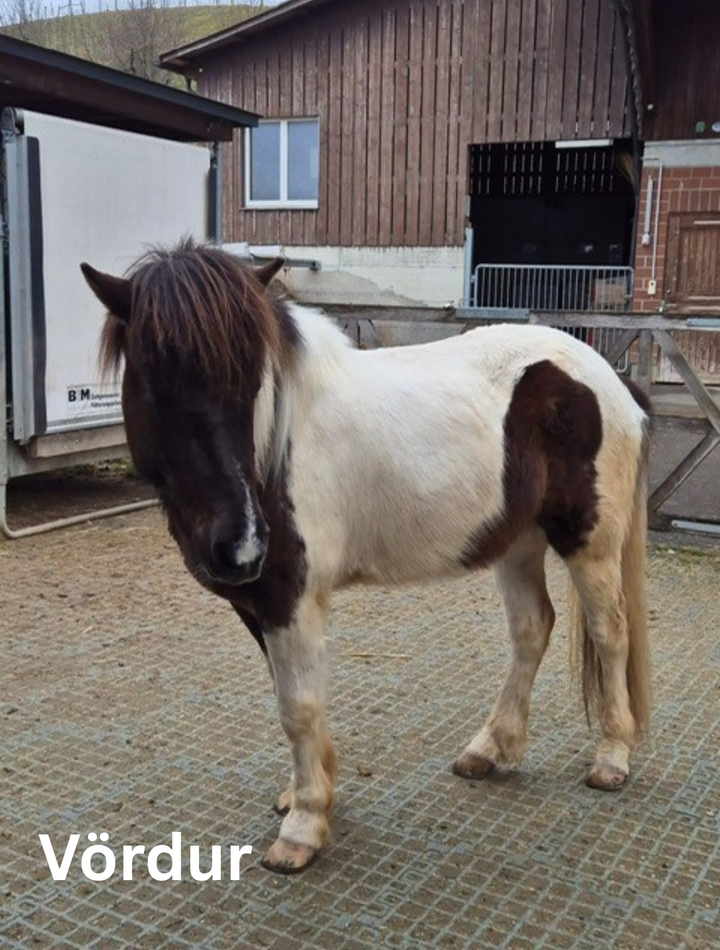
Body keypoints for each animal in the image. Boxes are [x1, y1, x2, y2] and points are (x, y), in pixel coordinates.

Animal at [81, 241, 651, 875]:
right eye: (155, 381)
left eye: (251, 383)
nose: (243, 545)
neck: (275, 449)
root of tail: (608, 380)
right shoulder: (260, 605)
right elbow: (290, 698)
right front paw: (304, 794)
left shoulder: (290, 598)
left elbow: (298, 706)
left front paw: (304, 828)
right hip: (518, 540)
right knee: (532, 629)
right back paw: (489, 748)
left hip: (589, 540)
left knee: (610, 631)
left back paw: (612, 757)